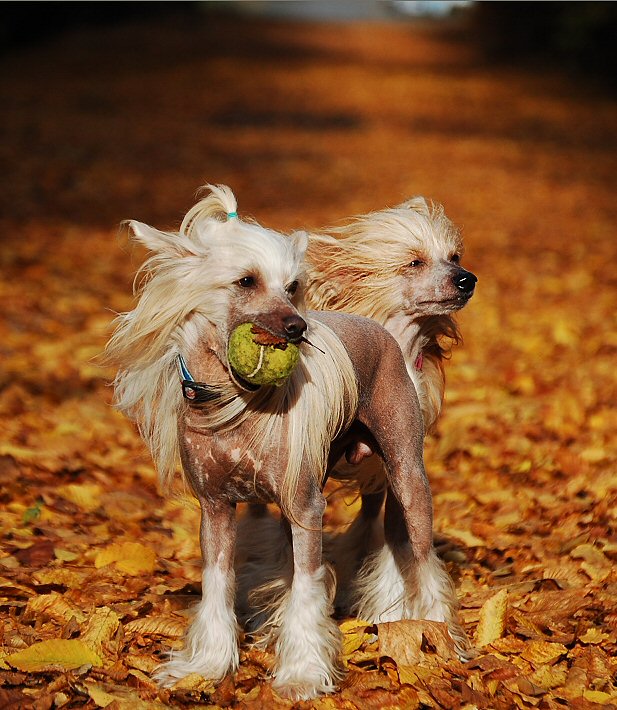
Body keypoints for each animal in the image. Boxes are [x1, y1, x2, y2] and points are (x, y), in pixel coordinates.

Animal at [103, 186, 470, 704]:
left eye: (293, 286)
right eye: (246, 281)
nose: (298, 327)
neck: (239, 403)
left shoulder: (305, 507)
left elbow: (306, 590)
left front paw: (301, 676)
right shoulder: (215, 509)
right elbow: (219, 585)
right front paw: (203, 668)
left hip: (405, 474)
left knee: (420, 560)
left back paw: (437, 635)